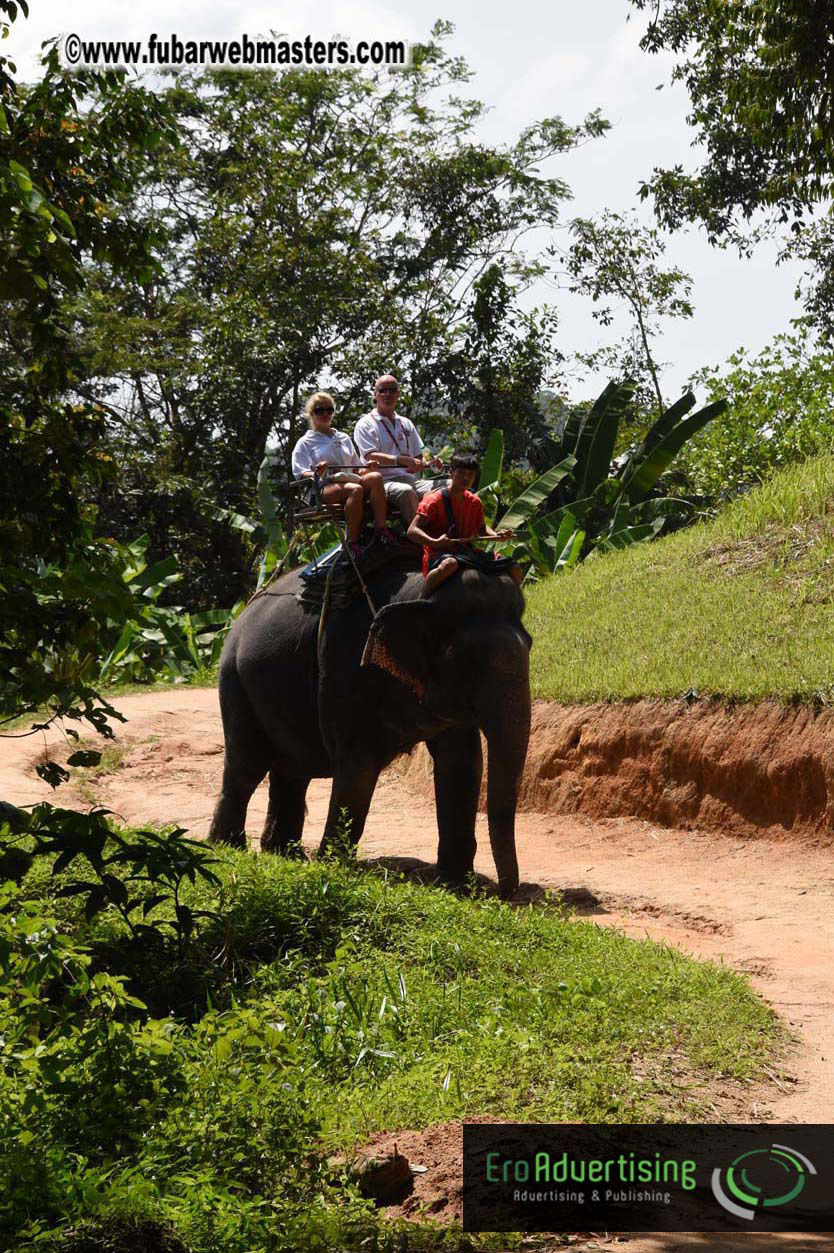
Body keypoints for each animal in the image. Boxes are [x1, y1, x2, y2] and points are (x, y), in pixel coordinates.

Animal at [207, 559, 532, 898]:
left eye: (530, 646)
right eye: (468, 661)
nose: (505, 892)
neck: (421, 593)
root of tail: (242, 613)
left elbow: (461, 763)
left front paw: (454, 884)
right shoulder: (346, 671)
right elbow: (358, 766)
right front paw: (331, 868)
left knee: (292, 770)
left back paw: (284, 854)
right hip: (235, 681)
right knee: (247, 766)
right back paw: (228, 847)